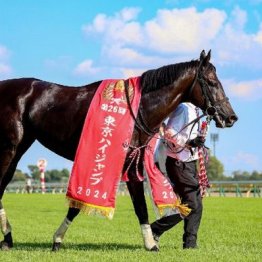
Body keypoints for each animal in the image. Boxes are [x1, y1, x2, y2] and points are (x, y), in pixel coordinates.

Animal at [0, 49, 237, 252]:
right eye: (212, 82)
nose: (231, 117)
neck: (138, 109)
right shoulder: (120, 163)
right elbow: (139, 206)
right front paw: (151, 244)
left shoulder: (132, 161)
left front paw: (57, 239)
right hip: (9, 149)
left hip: (19, 148)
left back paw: (8, 238)